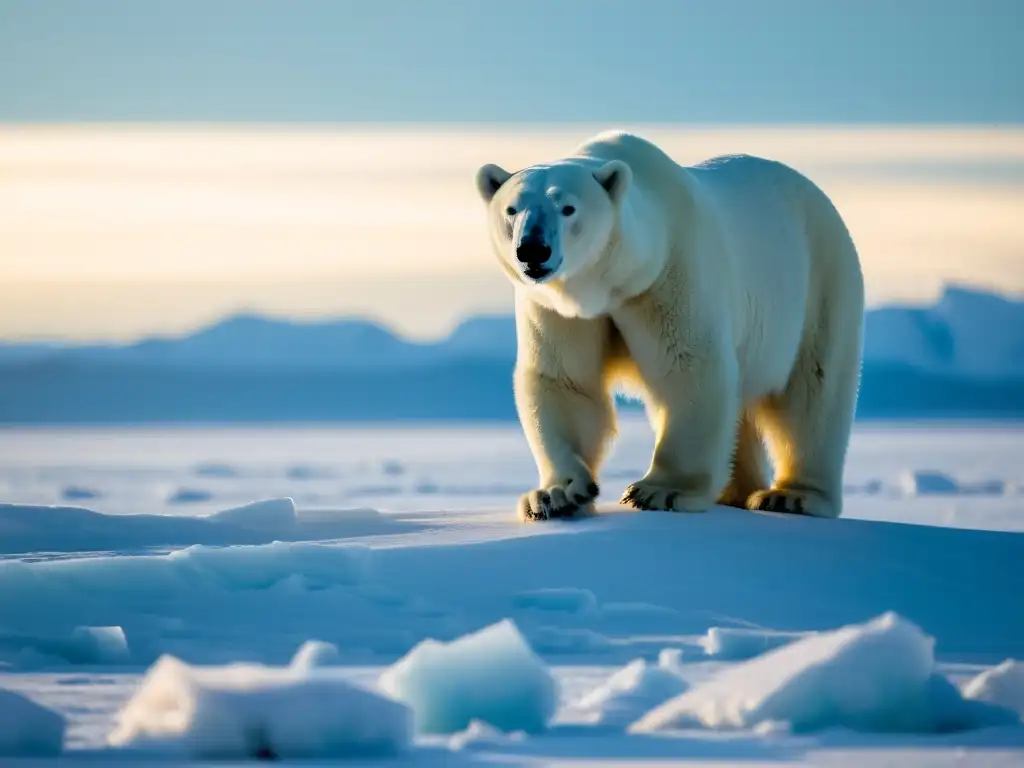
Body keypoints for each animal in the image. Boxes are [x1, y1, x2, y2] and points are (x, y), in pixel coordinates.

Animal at [475, 131, 860, 524]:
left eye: (568, 208)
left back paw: (791, 496)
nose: (533, 250)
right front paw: (557, 495)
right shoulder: (558, 309)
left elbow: (687, 367)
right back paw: (735, 493)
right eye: (512, 210)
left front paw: (661, 491)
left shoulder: (668, 277)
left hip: (821, 282)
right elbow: (565, 380)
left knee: (813, 388)